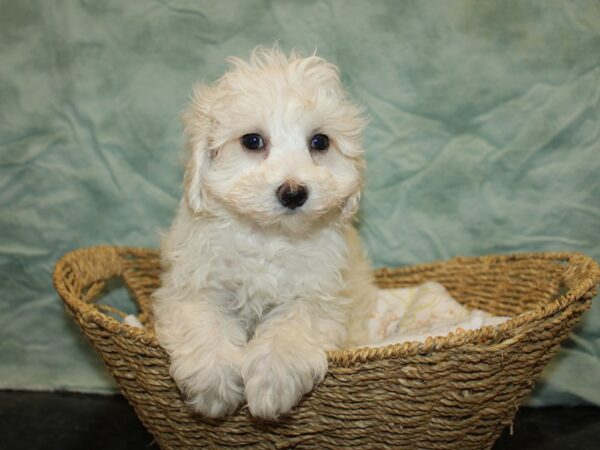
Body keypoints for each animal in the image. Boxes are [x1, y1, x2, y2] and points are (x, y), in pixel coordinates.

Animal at [156, 47, 380, 420]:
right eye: (252, 141)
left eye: (320, 142)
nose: (293, 193)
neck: (269, 236)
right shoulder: (192, 287)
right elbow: (204, 323)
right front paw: (215, 384)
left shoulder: (321, 298)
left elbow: (293, 326)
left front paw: (271, 382)